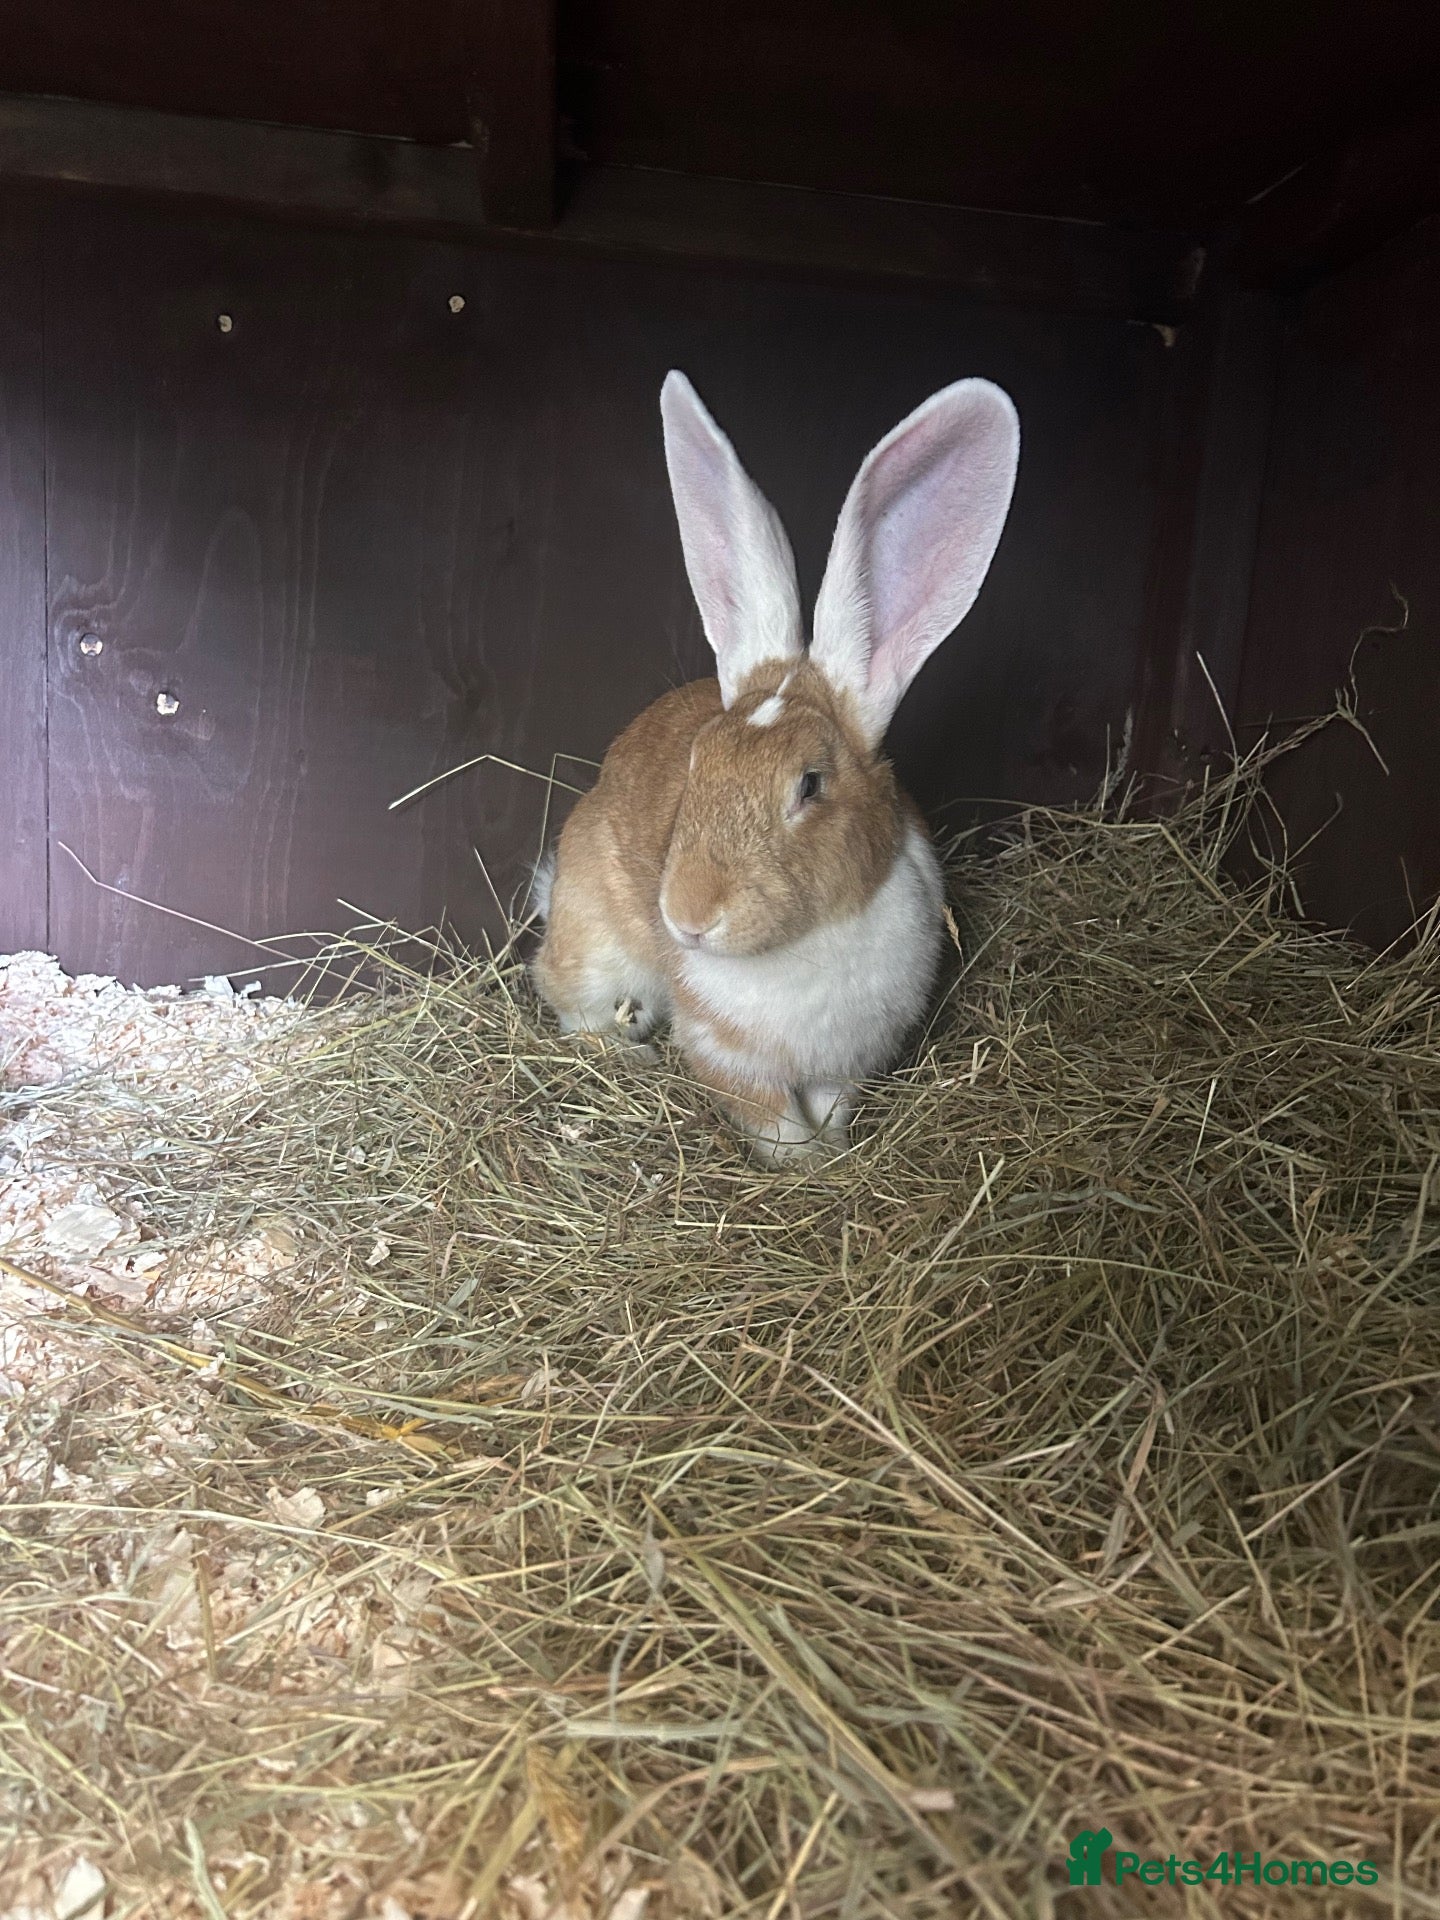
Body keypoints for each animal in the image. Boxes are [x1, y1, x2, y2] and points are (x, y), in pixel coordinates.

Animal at [531, 369, 1020, 1163]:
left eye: (809, 786)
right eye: (697, 764)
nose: (687, 917)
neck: (810, 943)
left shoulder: (846, 1062)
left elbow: (831, 1107)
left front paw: (833, 1154)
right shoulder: (729, 1055)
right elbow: (773, 1122)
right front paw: (802, 1164)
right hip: (595, 952)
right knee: (570, 1003)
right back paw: (631, 1052)